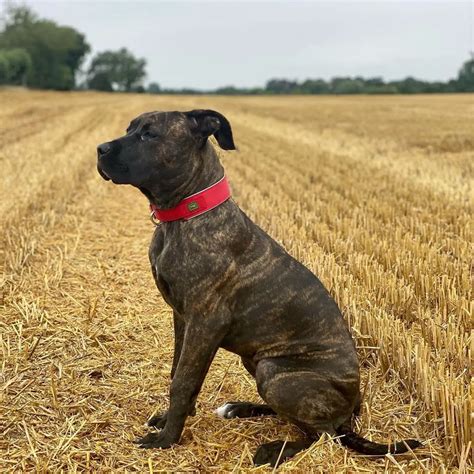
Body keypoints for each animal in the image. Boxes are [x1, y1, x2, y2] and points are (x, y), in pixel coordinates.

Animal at [97, 108, 422, 466]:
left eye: (149, 134)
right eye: (130, 128)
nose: (99, 149)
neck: (183, 218)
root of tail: (353, 408)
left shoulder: (205, 321)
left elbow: (182, 381)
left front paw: (167, 439)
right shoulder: (183, 318)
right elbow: (178, 371)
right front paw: (170, 421)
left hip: (275, 372)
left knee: (323, 435)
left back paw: (274, 449)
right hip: (254, 362)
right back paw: (239, 409)